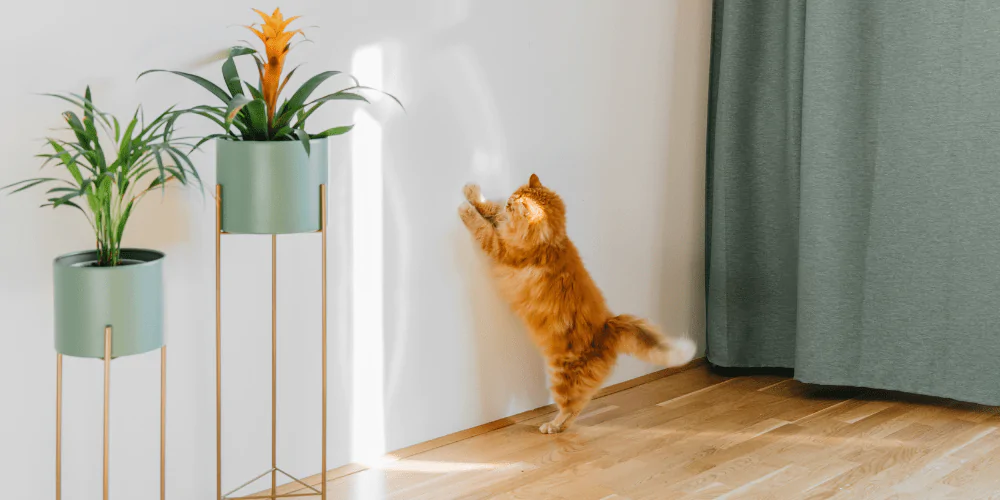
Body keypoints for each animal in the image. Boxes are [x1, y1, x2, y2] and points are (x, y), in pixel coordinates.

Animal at [458, 174, 696, 432]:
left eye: (514, 204)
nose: (509, 202)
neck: (552, 241)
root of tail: (608, 327)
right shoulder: (504, 229)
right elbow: (490, 210)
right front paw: (473, 194)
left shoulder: (502, 249)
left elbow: (482, 228)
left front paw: (465, 208)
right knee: (580, 406)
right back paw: (559, 426)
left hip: (561, 374)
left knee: (570, 407)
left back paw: (551, 426)